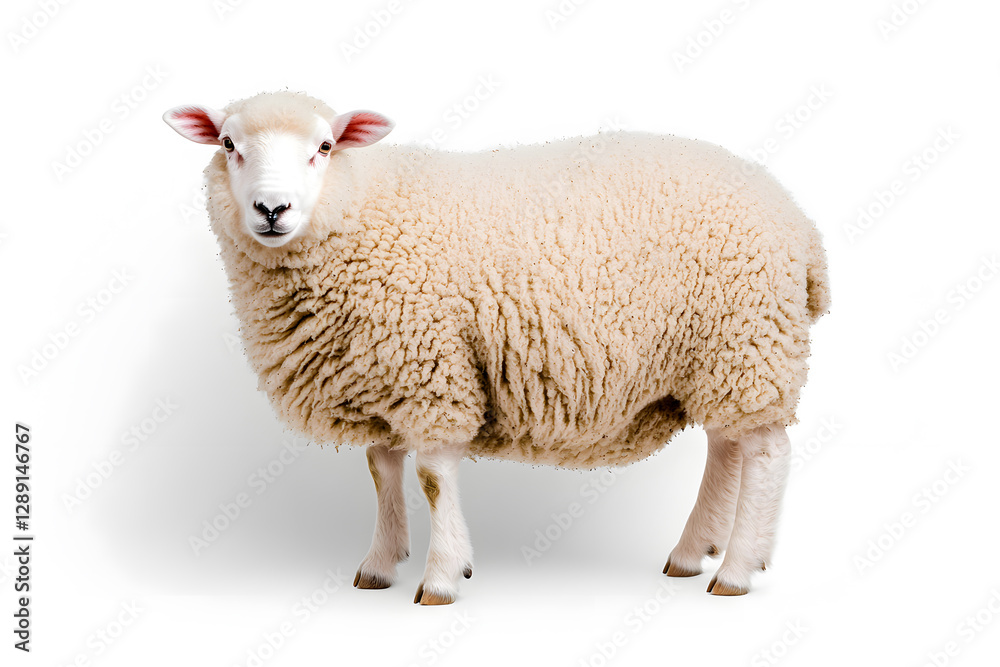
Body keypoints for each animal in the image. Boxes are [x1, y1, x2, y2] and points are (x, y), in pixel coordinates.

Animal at [163, 90, 830, 605]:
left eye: (325, 147)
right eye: (228, 144)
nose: (271, 209)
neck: (362, 210)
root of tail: (800, 223)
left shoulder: (430, 368)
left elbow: (432, 477)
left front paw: (441, 577)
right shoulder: (378, 372)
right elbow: (381, 470)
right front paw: (379, 565)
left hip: (747, 339)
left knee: (765, 453)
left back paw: (736, 570)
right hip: (721, 355)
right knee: (726, 445)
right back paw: (693, 554)